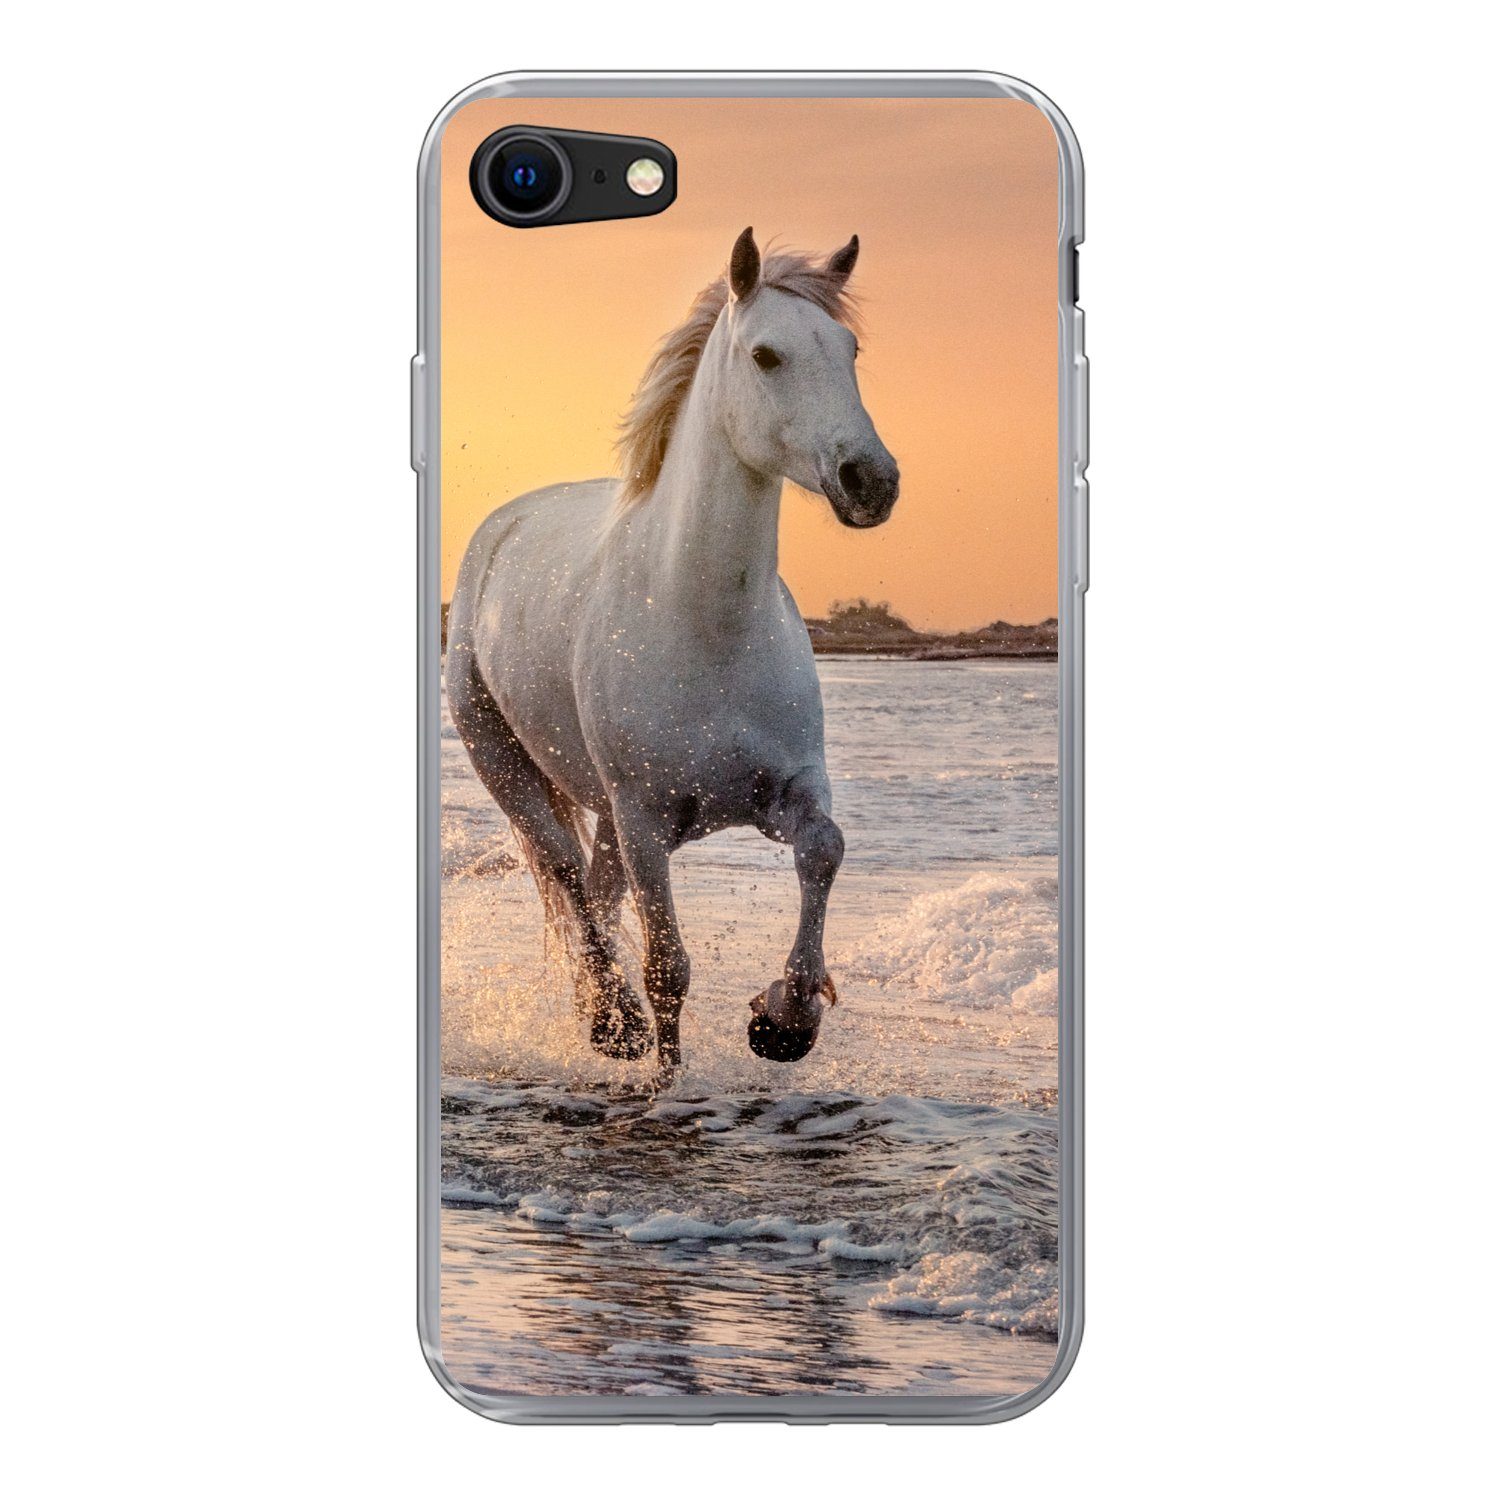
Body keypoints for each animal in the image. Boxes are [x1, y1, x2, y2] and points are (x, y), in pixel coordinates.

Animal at [446, 227, 899, 1083]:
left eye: (852, 348)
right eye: (766, 355)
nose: (872, 481)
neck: (704, 624)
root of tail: (501, 527)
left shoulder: (788, 790)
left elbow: (825, 849)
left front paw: (784, 1020)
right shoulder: (646, 820)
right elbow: (668, 968)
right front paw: (667, 1078)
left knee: (596, 890)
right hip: (514, 772)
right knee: (570, 881)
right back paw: (612, 1023)